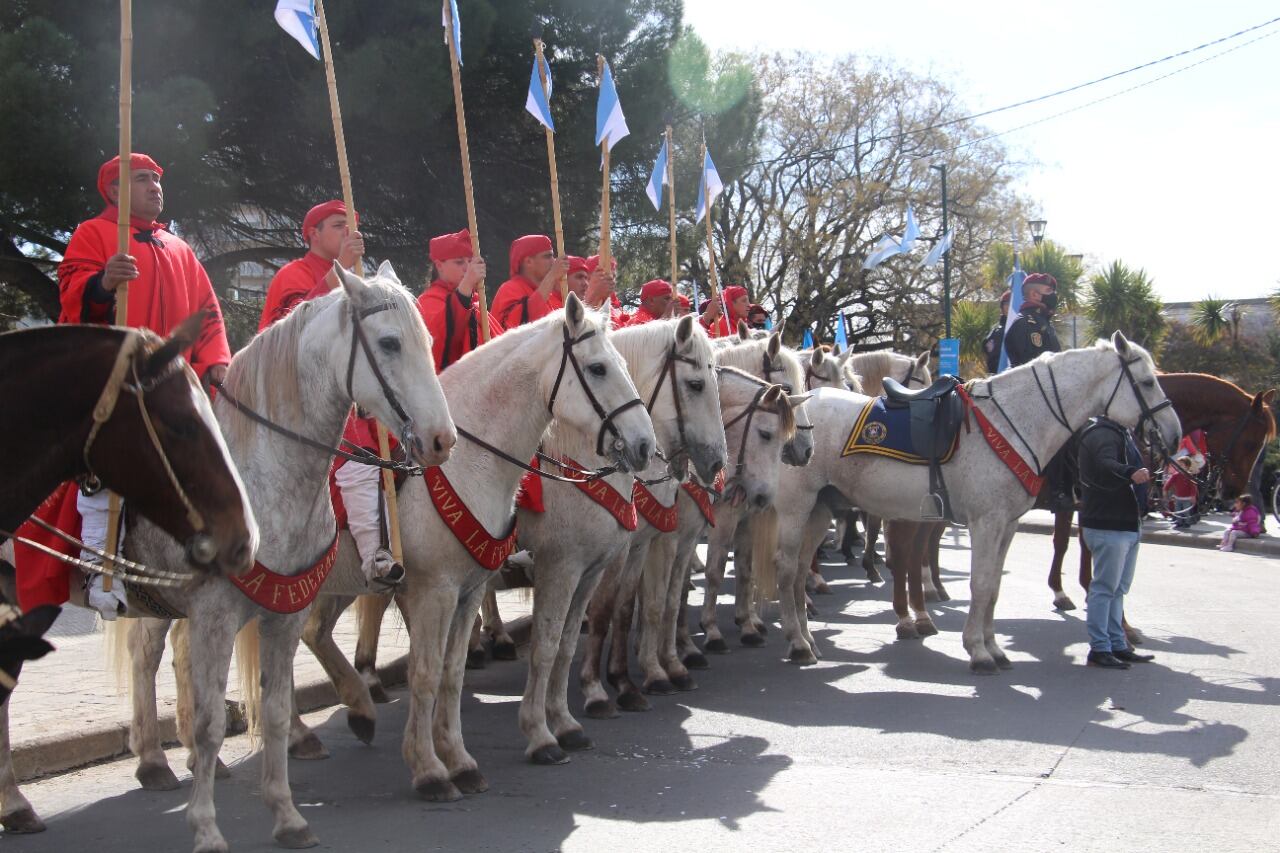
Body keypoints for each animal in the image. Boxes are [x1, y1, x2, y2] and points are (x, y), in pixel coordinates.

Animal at [124, 266, 455, 850]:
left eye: (429, 342)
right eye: (389, 343)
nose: (441, 439)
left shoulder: (284, 608)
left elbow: (277, 709)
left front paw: (287, 815)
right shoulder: (216, 611)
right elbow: (212, 722)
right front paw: (206, 828)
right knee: (145, 653)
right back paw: (147, 762)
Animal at [284, 294, 655, 799]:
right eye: (598, 368)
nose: (644, 445)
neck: (469, 462)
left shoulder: (483, 588)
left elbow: (458, 671)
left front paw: (464, 756)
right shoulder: (449, 589)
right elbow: (435, 670)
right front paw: (434, 767)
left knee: (310, 635)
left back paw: (352, 714)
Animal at [757, 335, 1177, 666]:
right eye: (1147, 382)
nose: (1173, 434)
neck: (1012, 422)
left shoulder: (1007, 524)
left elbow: (992, 586)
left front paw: (993, 647)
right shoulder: (986, 522)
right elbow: (981, 583)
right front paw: (977, 649)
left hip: (821, 510)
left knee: (801, 570)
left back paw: (809, 637)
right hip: (797, 510)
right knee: (787, 567)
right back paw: (798, 641)